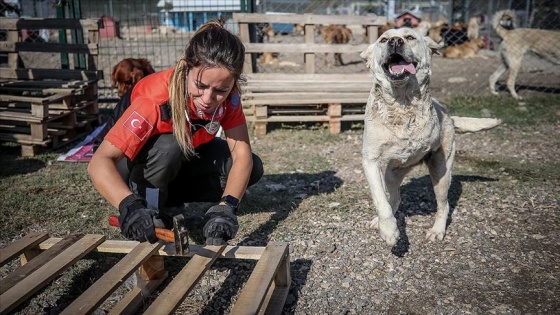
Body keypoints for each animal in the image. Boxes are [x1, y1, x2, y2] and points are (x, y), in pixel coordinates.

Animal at [360, 27, 500, 247]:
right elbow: (381, 200)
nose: (395, 41)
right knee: (394, 198)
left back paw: (437, 230)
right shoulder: (371, 161)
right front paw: (389, 229)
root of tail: (451, 116)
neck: (401, 100)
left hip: (441, 173)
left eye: (410, 37)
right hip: (392, 174)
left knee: (444, 205)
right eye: (383, 39)